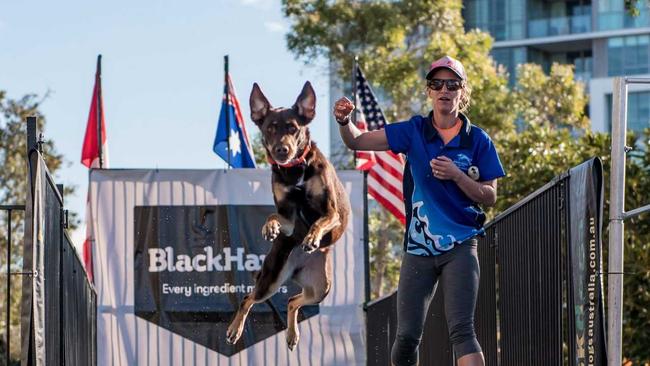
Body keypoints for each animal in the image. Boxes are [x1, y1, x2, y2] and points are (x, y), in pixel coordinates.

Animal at [227, 81, 350, 350]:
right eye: (270, 128)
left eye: (293, 128)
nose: (281, 150)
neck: (295, 170)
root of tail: (297, 268)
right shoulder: (289, 218)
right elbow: (274, 215)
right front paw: (270, 228)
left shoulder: (331, 211)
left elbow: (319, 221)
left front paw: (311, 239)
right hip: (271, 279)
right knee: (248, 298)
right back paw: (234, 330)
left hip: (321, 288)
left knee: (293, 300)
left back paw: (292, 334)